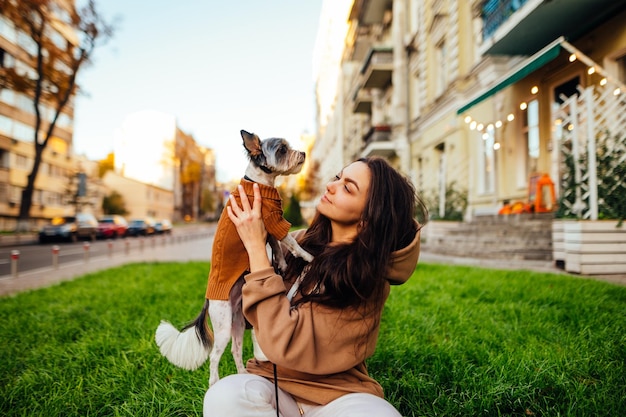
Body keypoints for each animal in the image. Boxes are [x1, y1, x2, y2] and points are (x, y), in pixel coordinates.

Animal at [156, 128, 312, 386]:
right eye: (282, 150)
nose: (303, 153)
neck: (260, 183)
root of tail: (208, 299)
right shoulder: (273, 220)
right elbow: (289, 240)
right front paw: (308, 256)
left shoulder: (268, 228)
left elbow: (277, 245)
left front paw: (280, 263)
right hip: (223, 326)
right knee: (214, 357)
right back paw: (215, 383)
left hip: (237, 322)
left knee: (236, 350)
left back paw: (242, 376)